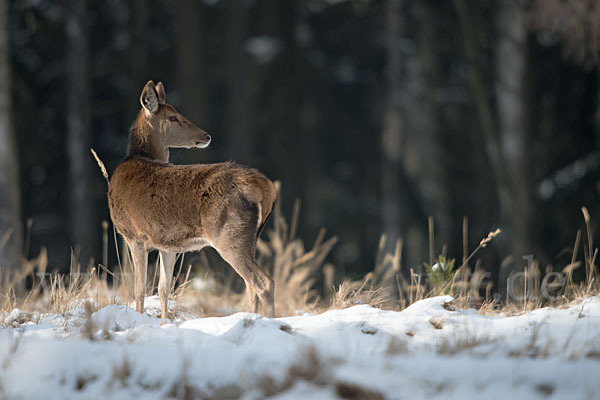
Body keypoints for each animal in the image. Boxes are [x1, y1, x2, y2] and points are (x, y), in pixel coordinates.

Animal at [108, 81, 276, 322]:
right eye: (172, 117)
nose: (206, 136)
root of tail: (265, 186)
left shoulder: (134, 234)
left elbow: (139, 289)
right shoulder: (167, 243)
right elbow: (163, 289)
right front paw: (163, 323)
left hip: (229, 235)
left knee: (263, 283)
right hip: (251, 238)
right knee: (250, 285)